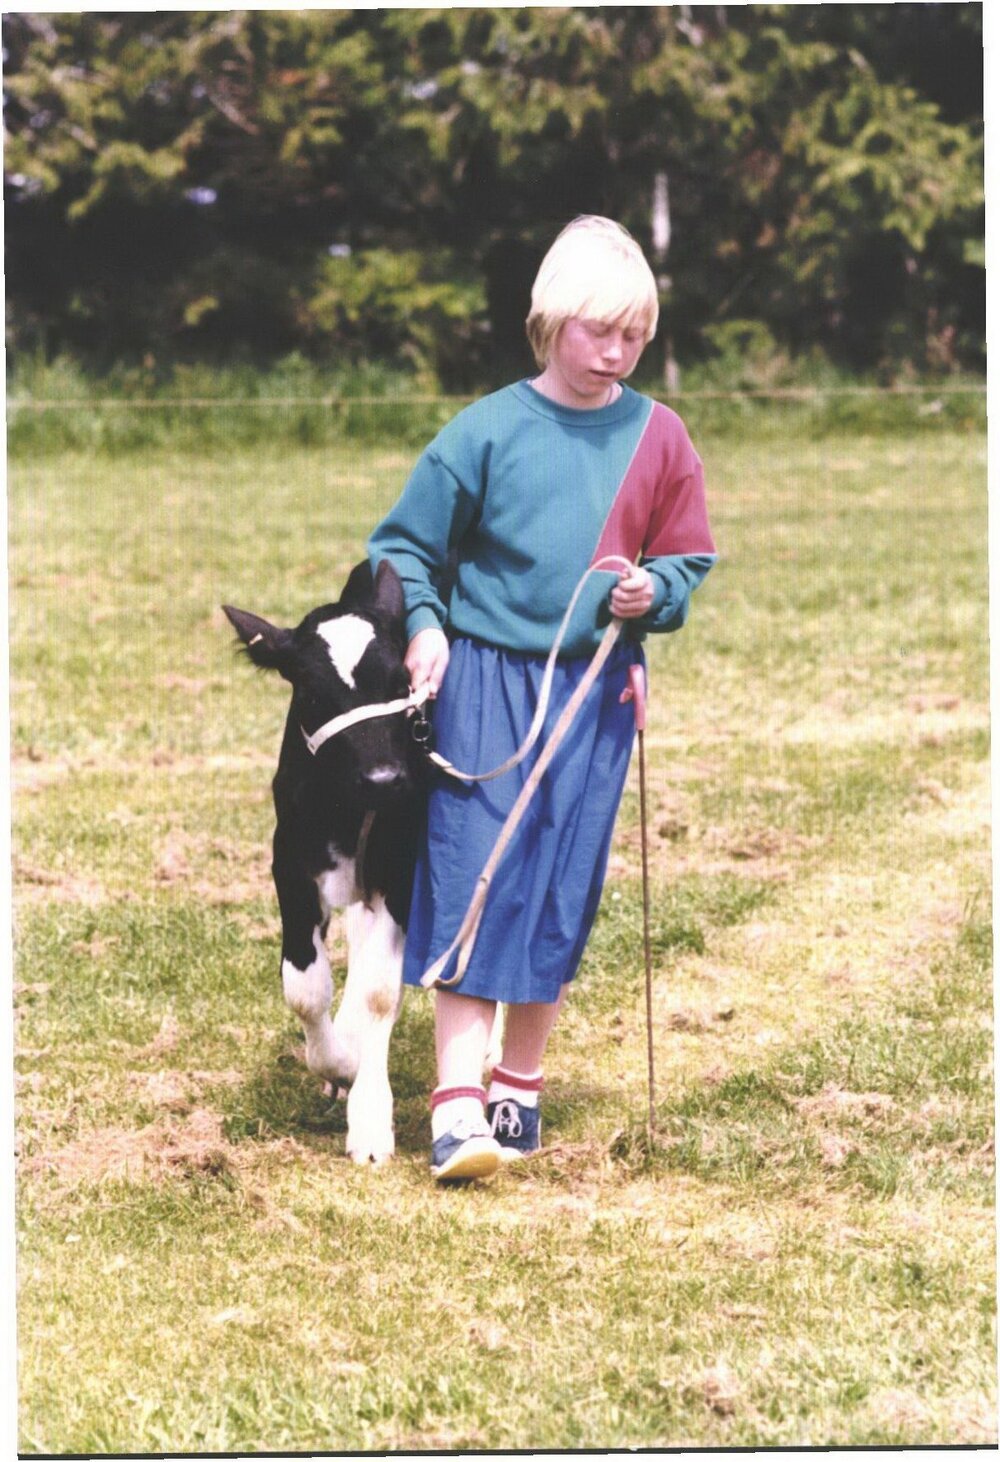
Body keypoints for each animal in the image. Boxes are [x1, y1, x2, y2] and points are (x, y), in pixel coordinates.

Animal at [223, 559, 424, 1165]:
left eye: (401, 682)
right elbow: (305, 987)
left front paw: (371, 1122)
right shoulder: (290, 864)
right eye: (312, 692)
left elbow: (383, 989)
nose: (385, 779)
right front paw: (340, 1064)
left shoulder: (401, 866)